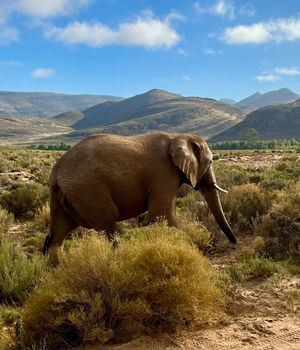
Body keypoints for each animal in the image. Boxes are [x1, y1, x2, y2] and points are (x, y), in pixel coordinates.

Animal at [44, 131, 237, 260]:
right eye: (210, 162)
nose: (234, 243)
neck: (177, 136)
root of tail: (55, 171)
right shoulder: (164, 174)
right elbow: (163, 214)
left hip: (66, 194)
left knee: (59, 233)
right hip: (88, 189)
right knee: (107, 226)